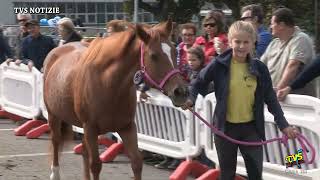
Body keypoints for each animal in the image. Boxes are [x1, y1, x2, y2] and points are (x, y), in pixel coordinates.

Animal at [42, 19, 188, 180]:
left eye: (175, 52)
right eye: (153, 55)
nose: (181, 92)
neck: (108, 84)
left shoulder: (127, 127)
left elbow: (137, 162)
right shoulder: (91, 128)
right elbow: (96, 165)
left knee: (84, 151)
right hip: (54, 116)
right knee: (56, 141)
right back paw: (54, 173)